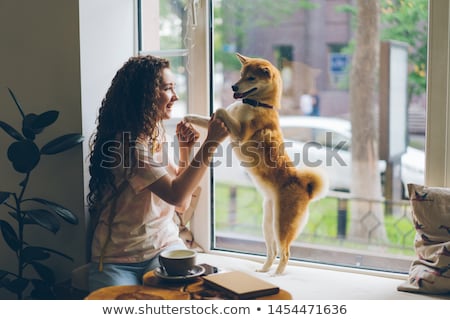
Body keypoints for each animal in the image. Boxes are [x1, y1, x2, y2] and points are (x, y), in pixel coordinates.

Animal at [183, 53, 326, 276]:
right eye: (242, 74)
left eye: (251, 78)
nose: (233, 86)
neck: (257, 104)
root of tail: (305, 187)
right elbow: (207, 117)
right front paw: (188, 117)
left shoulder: (240, 133)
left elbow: (220, 109)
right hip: (268, 223)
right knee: (272, 251)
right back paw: (264, 270)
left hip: (282, 225)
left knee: (285, 253)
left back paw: (277, 275)